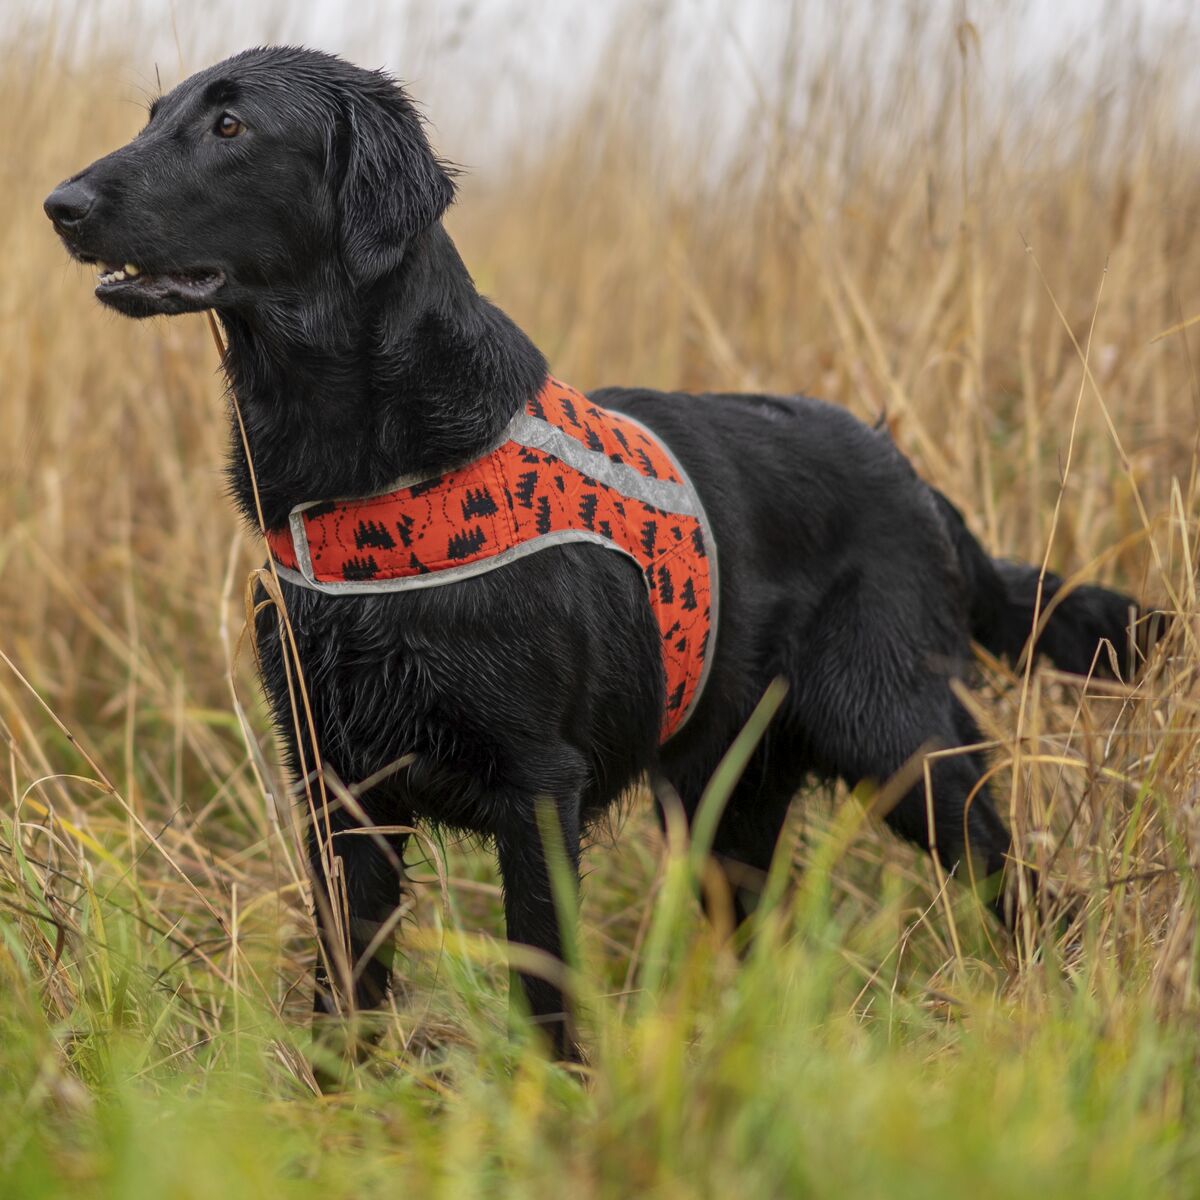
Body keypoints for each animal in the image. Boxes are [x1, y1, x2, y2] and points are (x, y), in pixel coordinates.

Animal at [46, 46, 1147, 1060]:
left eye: (230, 126)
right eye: (155, 117)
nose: (61, 203)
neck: (374, 474)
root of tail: (911, 473)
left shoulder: (541, 787)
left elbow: (544, 993)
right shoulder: (339, 788)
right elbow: (344, 989)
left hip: (900, 740)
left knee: (1024, 889)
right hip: (724, 799)